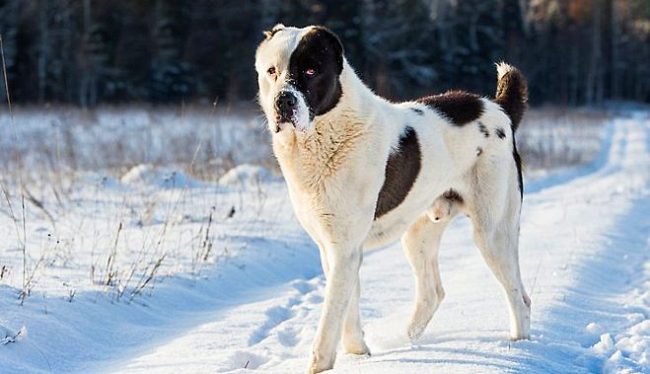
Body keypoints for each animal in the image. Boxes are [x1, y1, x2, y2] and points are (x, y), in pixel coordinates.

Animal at [253, 24, 528, 372]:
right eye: (272, 71)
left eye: (311, 70)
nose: (283, 101)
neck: (329, 131)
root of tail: (498, 107)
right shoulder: (334, 248)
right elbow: (348, 307)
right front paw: (359, 354)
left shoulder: (344, 249)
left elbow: (331, 313)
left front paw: (320, 365)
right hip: (418, 233)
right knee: (433, 292)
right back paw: (407, 339)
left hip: (492, 232)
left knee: (519, 296)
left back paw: (521, 347)